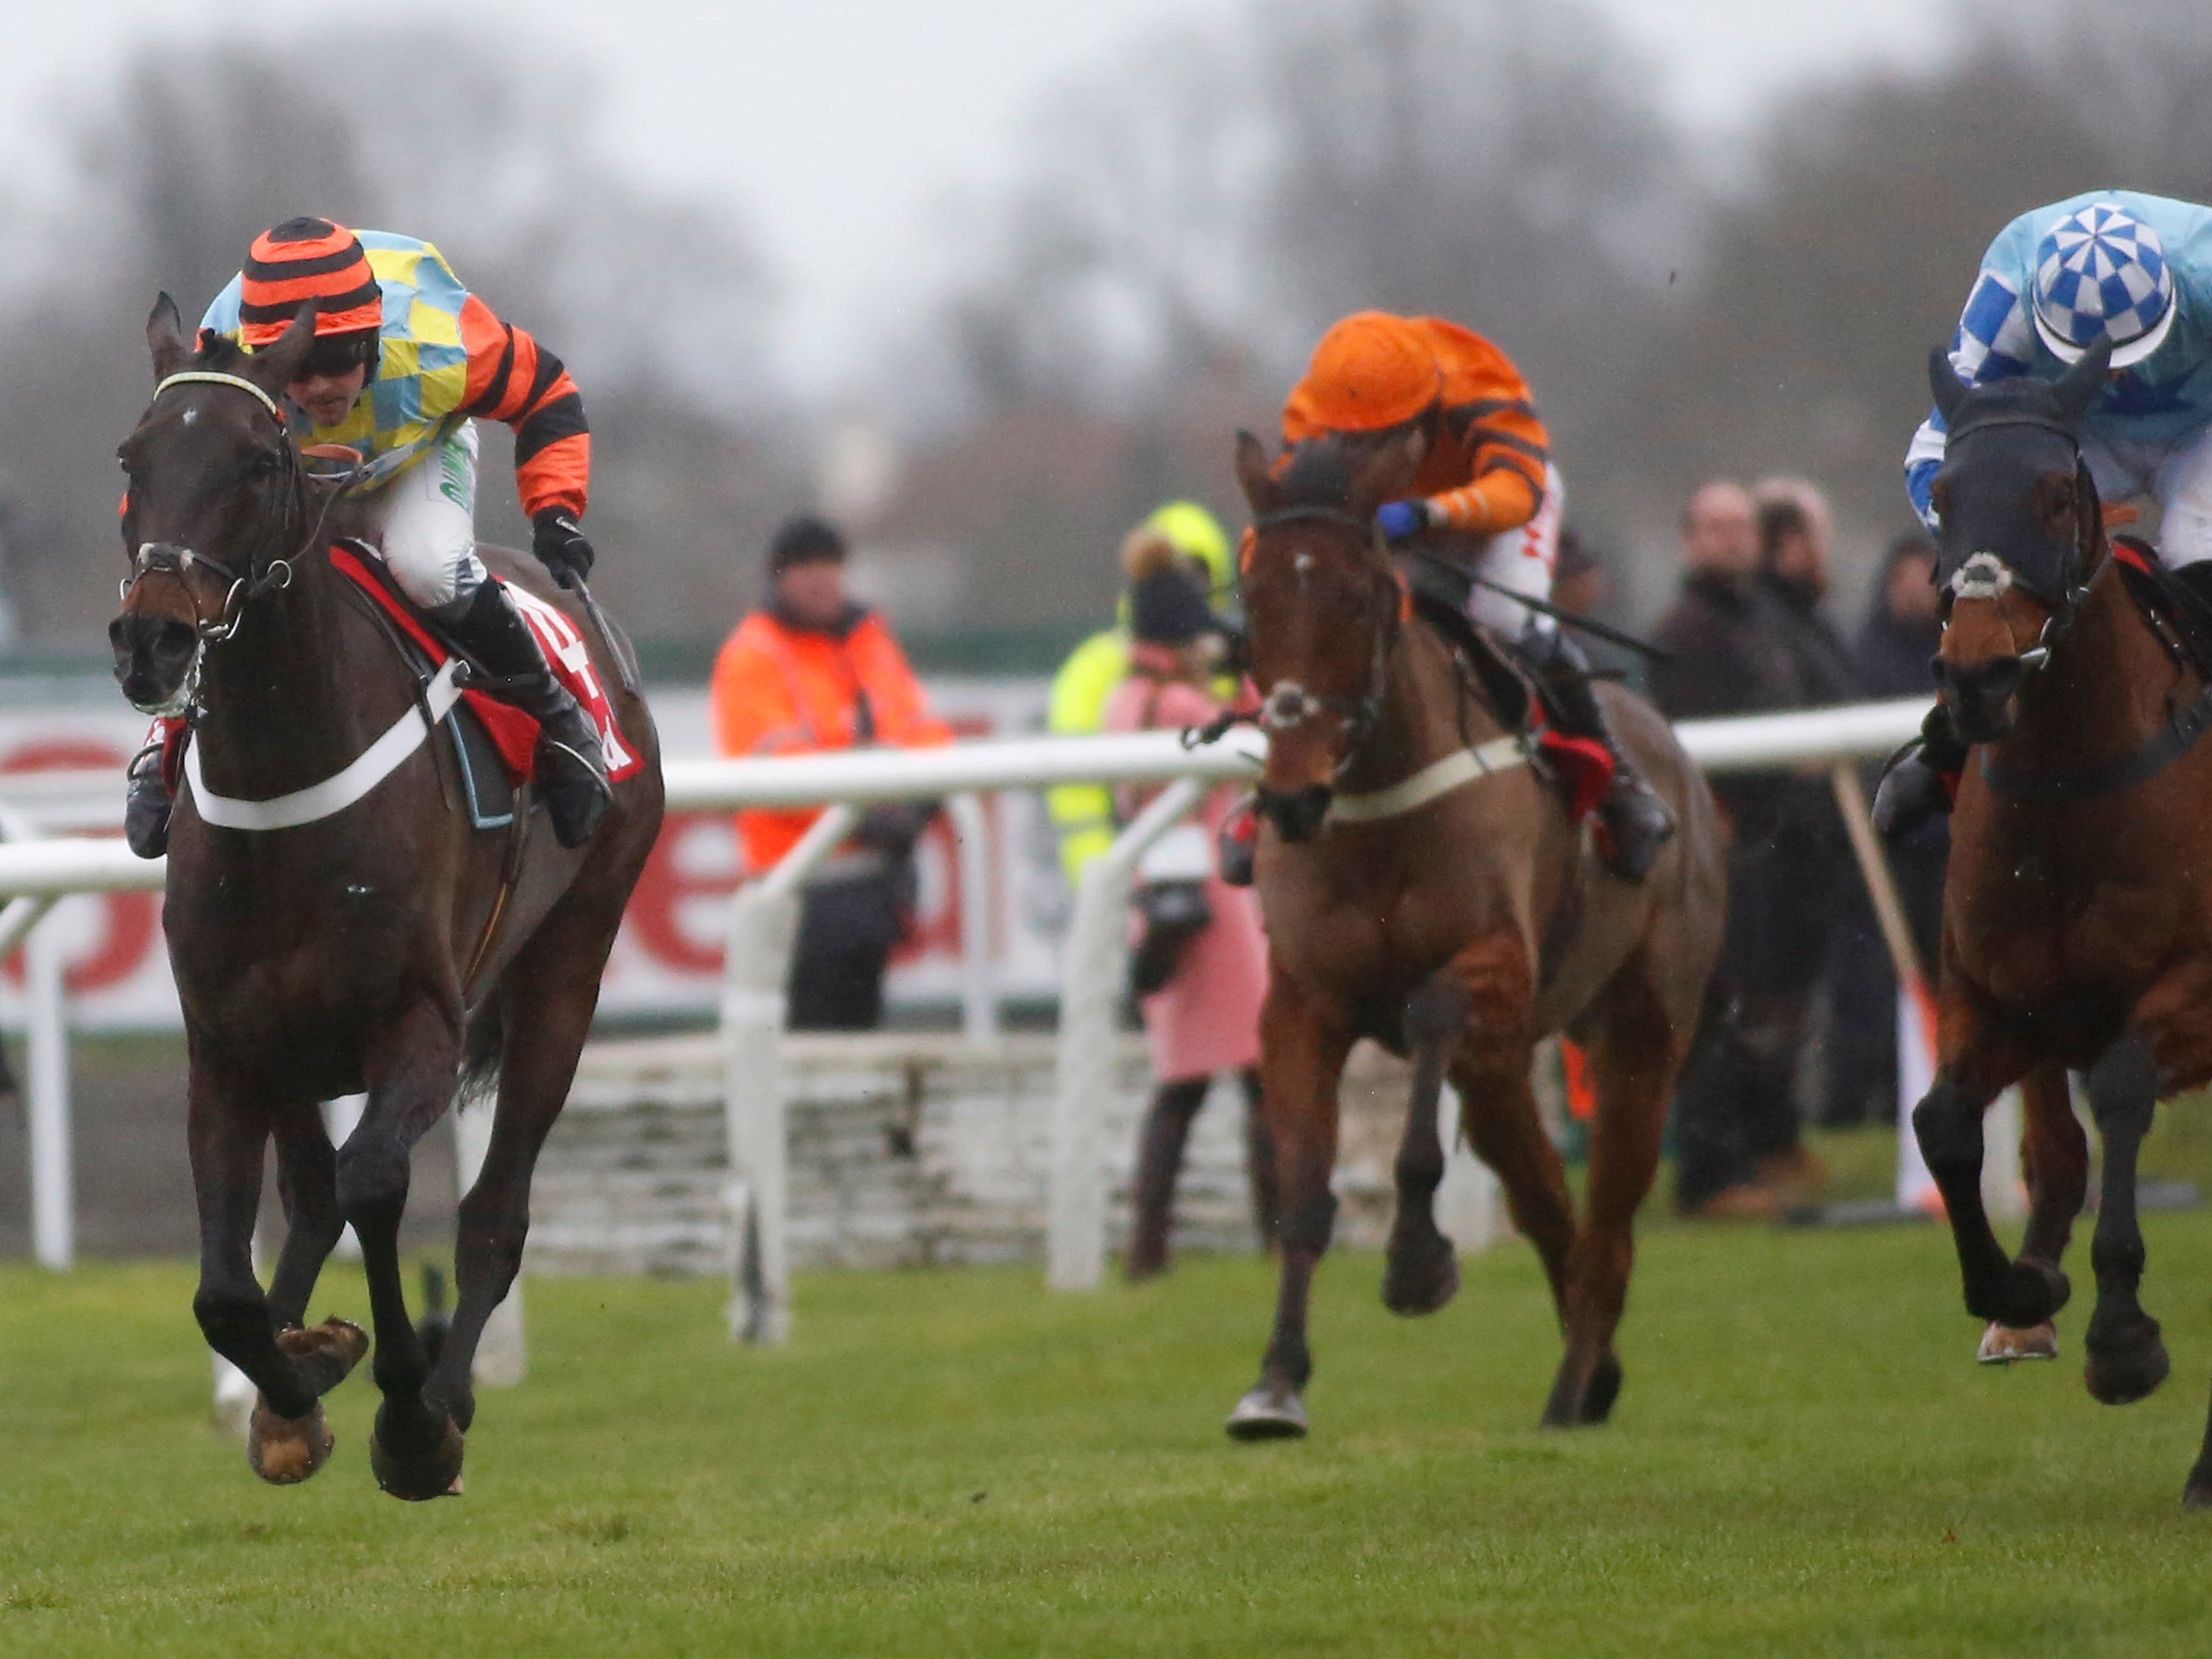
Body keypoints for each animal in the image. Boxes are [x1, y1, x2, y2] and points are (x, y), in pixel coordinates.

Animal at [112, 303, 663, 1504]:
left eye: (256, 461)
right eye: (133, 457)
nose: (153, 640)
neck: (283, 778)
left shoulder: (421, 1022)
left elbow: (379, 1182)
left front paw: (409, 1415)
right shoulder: (227, 1044)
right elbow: (223, 1286)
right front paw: (297, 1380)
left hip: (570, 963)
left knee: (491, 1213)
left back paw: (443, 1394)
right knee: (311, 1197)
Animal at [1230, 429, 1725, 1442]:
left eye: (1361, 595)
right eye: (1251, 601)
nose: (1291, 798)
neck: (1375, 800)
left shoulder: (1495, 966)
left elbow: (1425, 1029)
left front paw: (1417, 1260)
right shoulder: (1301, 1002)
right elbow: (1301, 1192)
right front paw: (1276, 1382)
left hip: (1643, 1028)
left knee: (1609, 1223)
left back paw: (1573, 1384)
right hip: (1504, 1063)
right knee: (1546, 1199)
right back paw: (1594, 1370)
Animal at [1911, 338, 2212, 1504]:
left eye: (2050, 491)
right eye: (1945, 497)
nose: (1979, 675)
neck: (2070, 780)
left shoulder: (2195, 997)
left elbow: (2124, 1085)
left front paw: (2123, 1340)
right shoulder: (1994, 999)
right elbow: (1944, 1124)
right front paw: (2021, 1290)